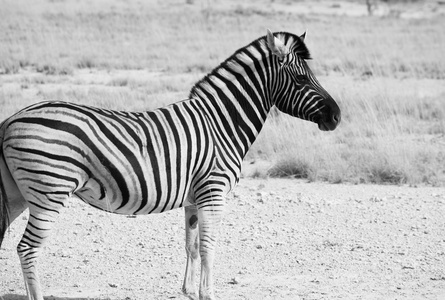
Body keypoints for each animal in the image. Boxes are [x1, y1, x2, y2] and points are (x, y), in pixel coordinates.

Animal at [0, 29, 340, 300]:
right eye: (301, 78)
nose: (337, 116)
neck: (221, 124)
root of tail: (12, 118)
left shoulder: (194, 198)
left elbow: (192, 246)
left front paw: (188, 291)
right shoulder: (214, 192)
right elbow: (208, 247)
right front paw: (207, 293)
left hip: (17, 195)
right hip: (49, 192)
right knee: (28, 249)